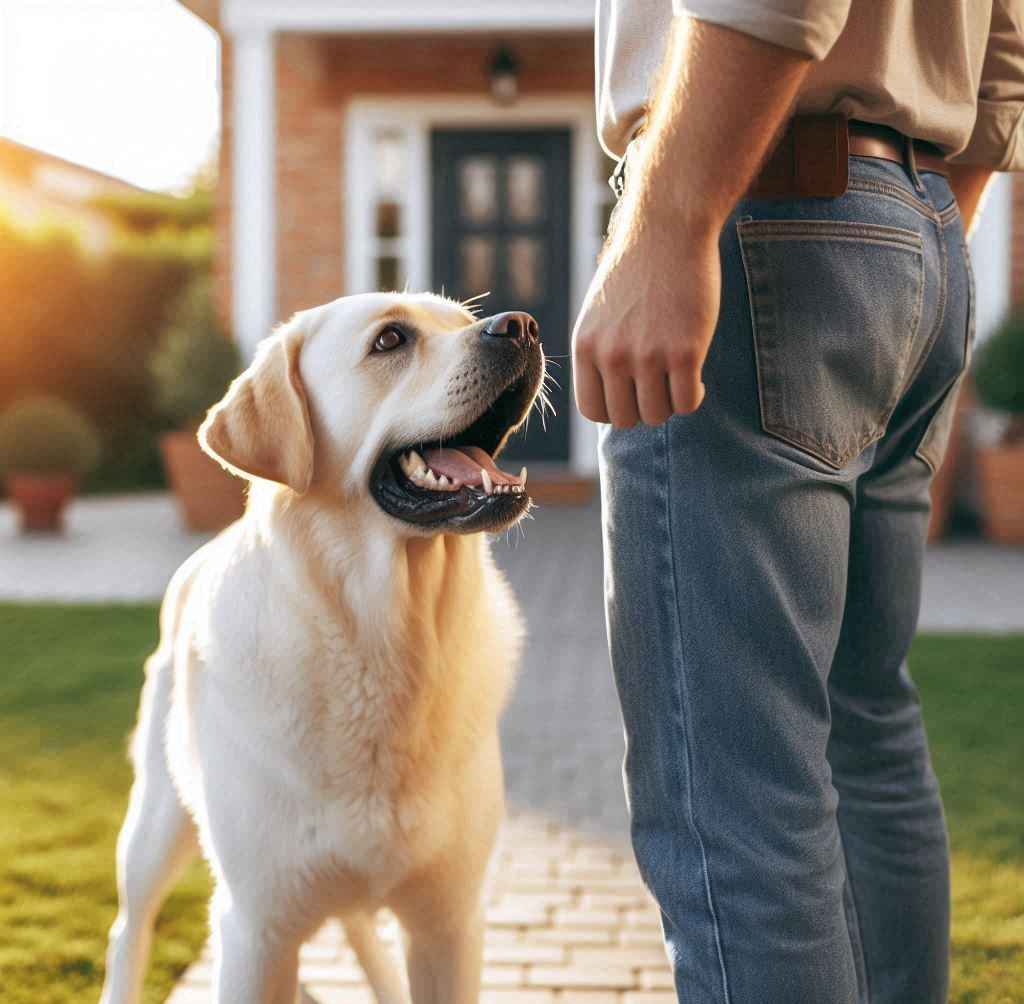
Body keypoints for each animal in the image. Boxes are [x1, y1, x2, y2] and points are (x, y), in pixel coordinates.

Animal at [97, 293, 544, 1003]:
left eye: (459, 317)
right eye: (391, 340)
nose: (523, 327)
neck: (385, 638)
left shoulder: (449, 921)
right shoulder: (256, 929)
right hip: (156, 825)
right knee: (128, 929)